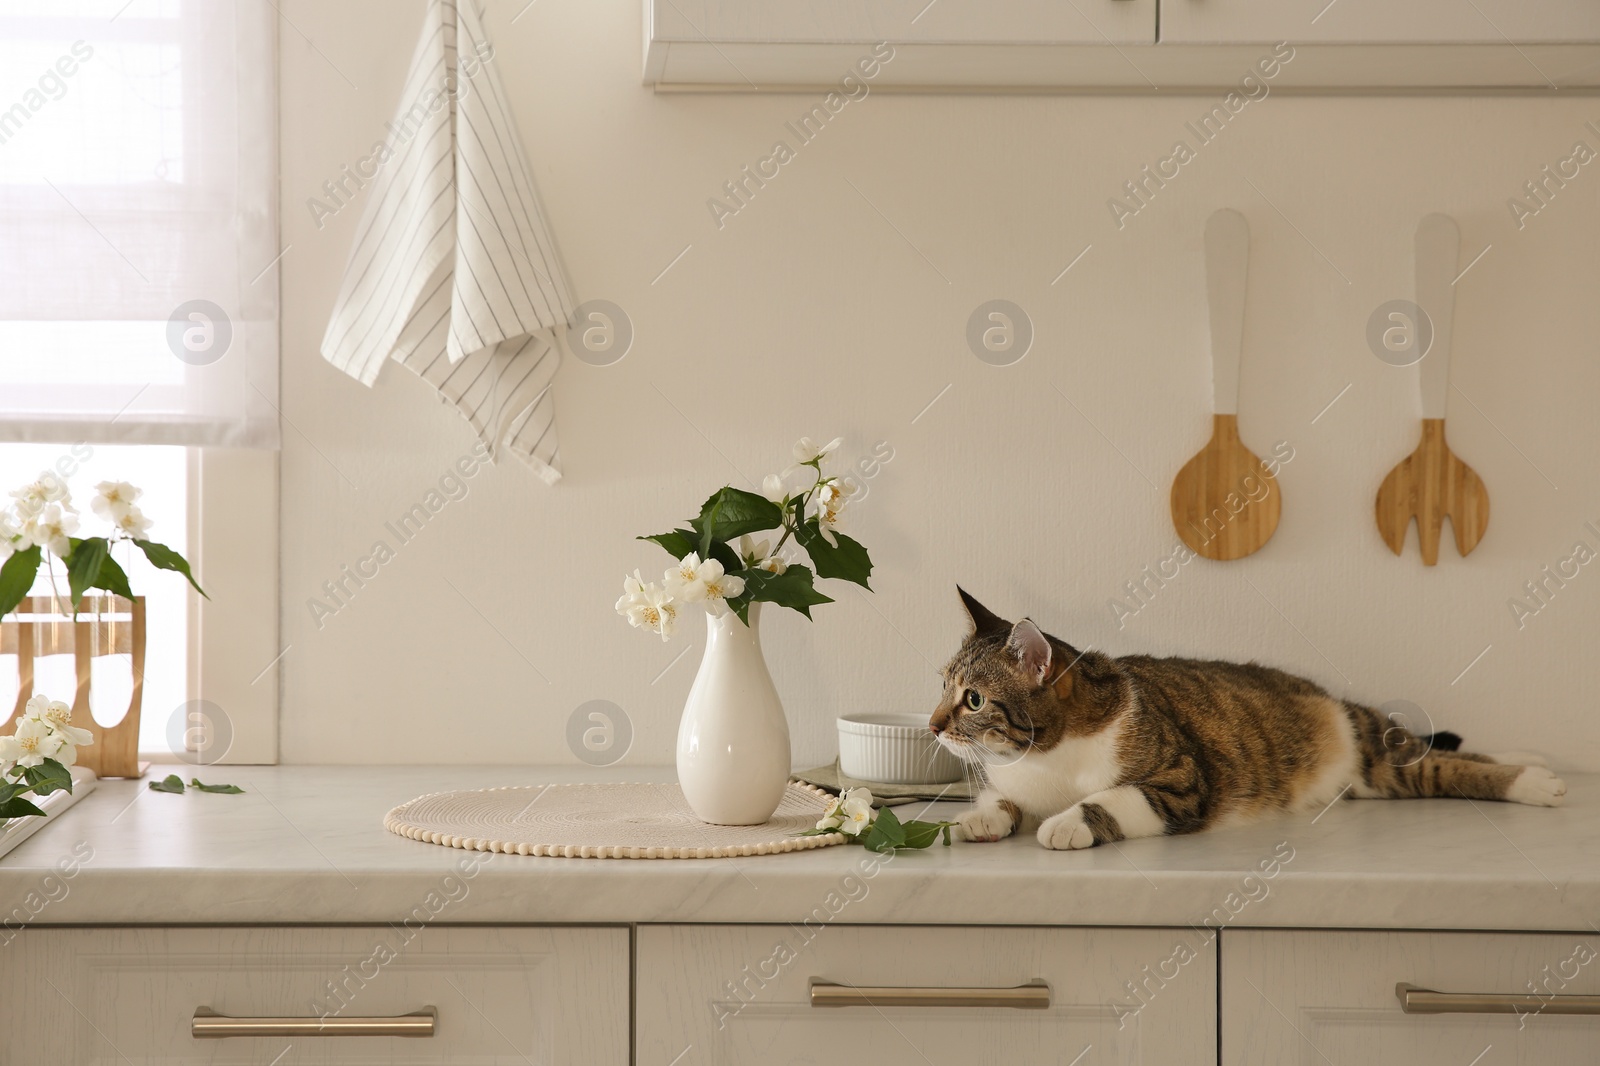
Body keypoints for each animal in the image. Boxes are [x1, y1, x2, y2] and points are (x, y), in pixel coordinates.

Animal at [934, 589, 1568, 845]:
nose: (934, 725)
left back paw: (1534, 777)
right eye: (942, 684)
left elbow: (1117, 798)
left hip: (1374, 751)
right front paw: (982, 817)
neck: (1045, 759)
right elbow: (1001, 799)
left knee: (1440, 761)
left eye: (974, 700)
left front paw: (1068, 822)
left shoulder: (1183, 784)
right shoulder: (1015, 780)